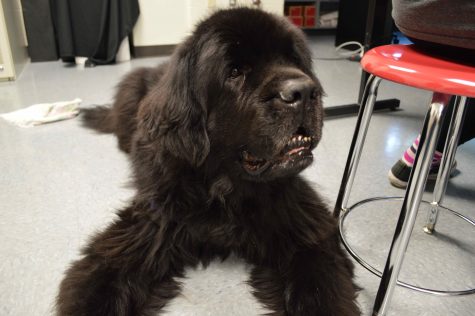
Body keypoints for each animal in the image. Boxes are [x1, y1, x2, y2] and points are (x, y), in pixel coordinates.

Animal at [59, 8, 362, 316]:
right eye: (235, 72)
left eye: (294, 60)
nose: (303, 91)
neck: (222, 187)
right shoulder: (143, 230)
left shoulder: (305, 230)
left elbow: (321, 288)